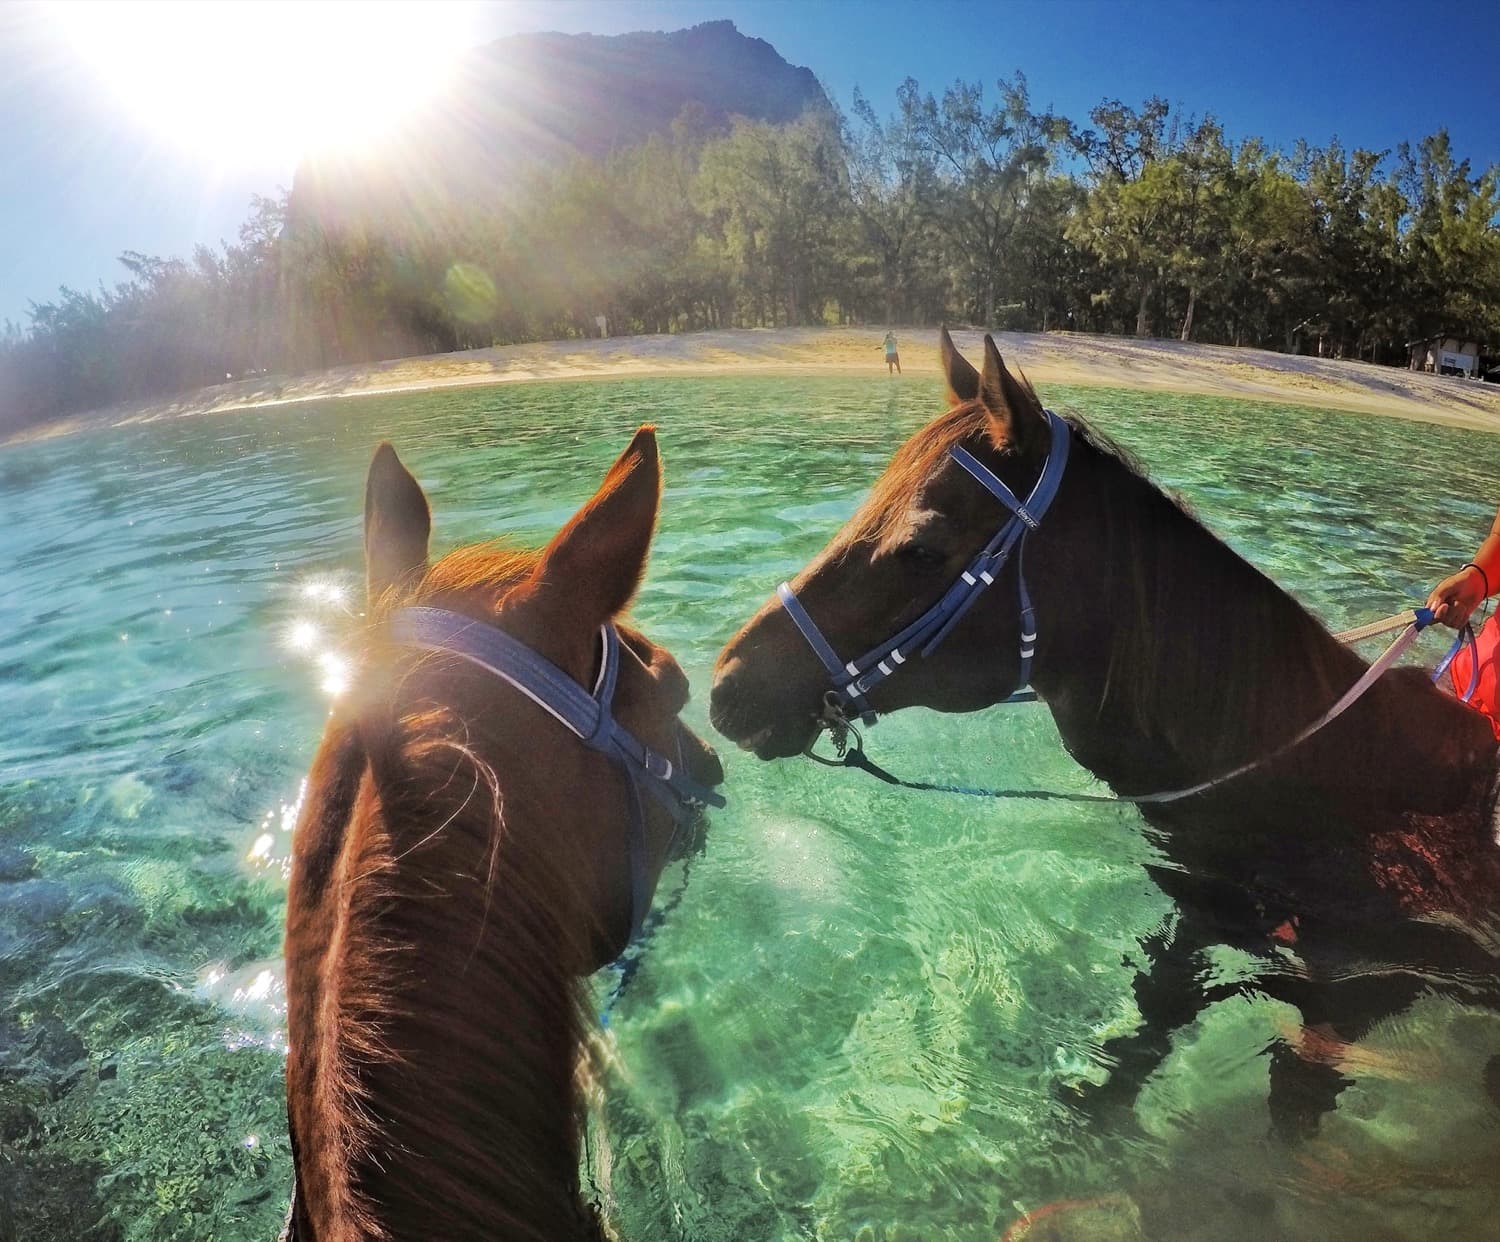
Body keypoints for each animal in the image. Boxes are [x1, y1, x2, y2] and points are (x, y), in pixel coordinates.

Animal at [709, 329, 1500, 1142]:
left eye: (922, 549)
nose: (728, 684)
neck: (1330, 777)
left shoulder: (1346, 1000)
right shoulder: (1197, 927)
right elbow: (1143, 1039)